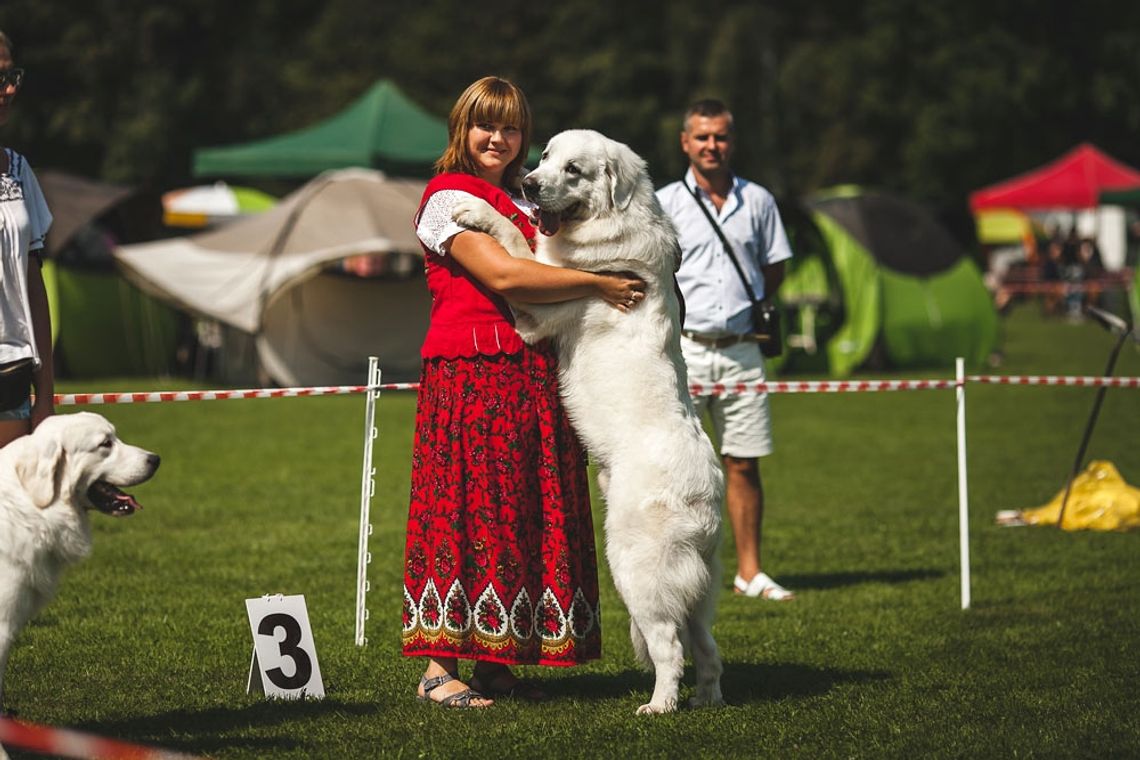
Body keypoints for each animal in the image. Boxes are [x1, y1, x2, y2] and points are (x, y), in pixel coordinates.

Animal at [451, 131, 720, 715]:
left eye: (573, 170)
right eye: (545, 156)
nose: (528, 183)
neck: (611, 222)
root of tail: (705, 494)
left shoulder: (537, 312)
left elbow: (515, 240)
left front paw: (475, 211)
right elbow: (527, 236)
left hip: (636, 568)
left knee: (669, 646)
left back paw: (659, 706)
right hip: (699, 586)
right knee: (707, 647)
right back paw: (706, 702)